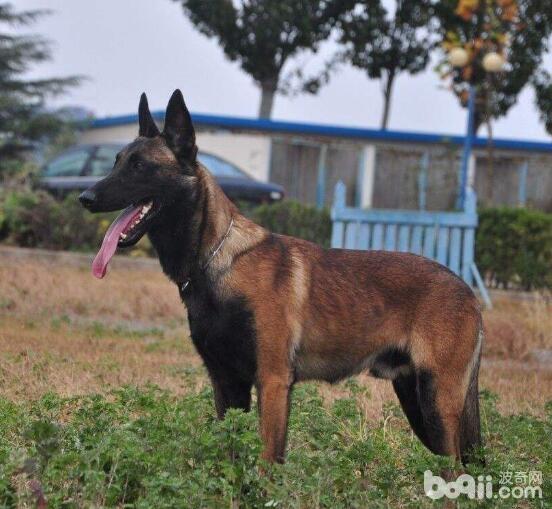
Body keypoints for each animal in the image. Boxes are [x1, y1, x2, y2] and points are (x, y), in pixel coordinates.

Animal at [80, 90, 486, 464]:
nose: (84, 197)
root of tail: (467, 290)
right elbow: (232, 459)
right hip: (417, 402)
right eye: (117, 162)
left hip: (435, 403)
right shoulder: (227, 385)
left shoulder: (273, 382)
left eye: (139, 166)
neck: (216, 262)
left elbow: (265, 463)